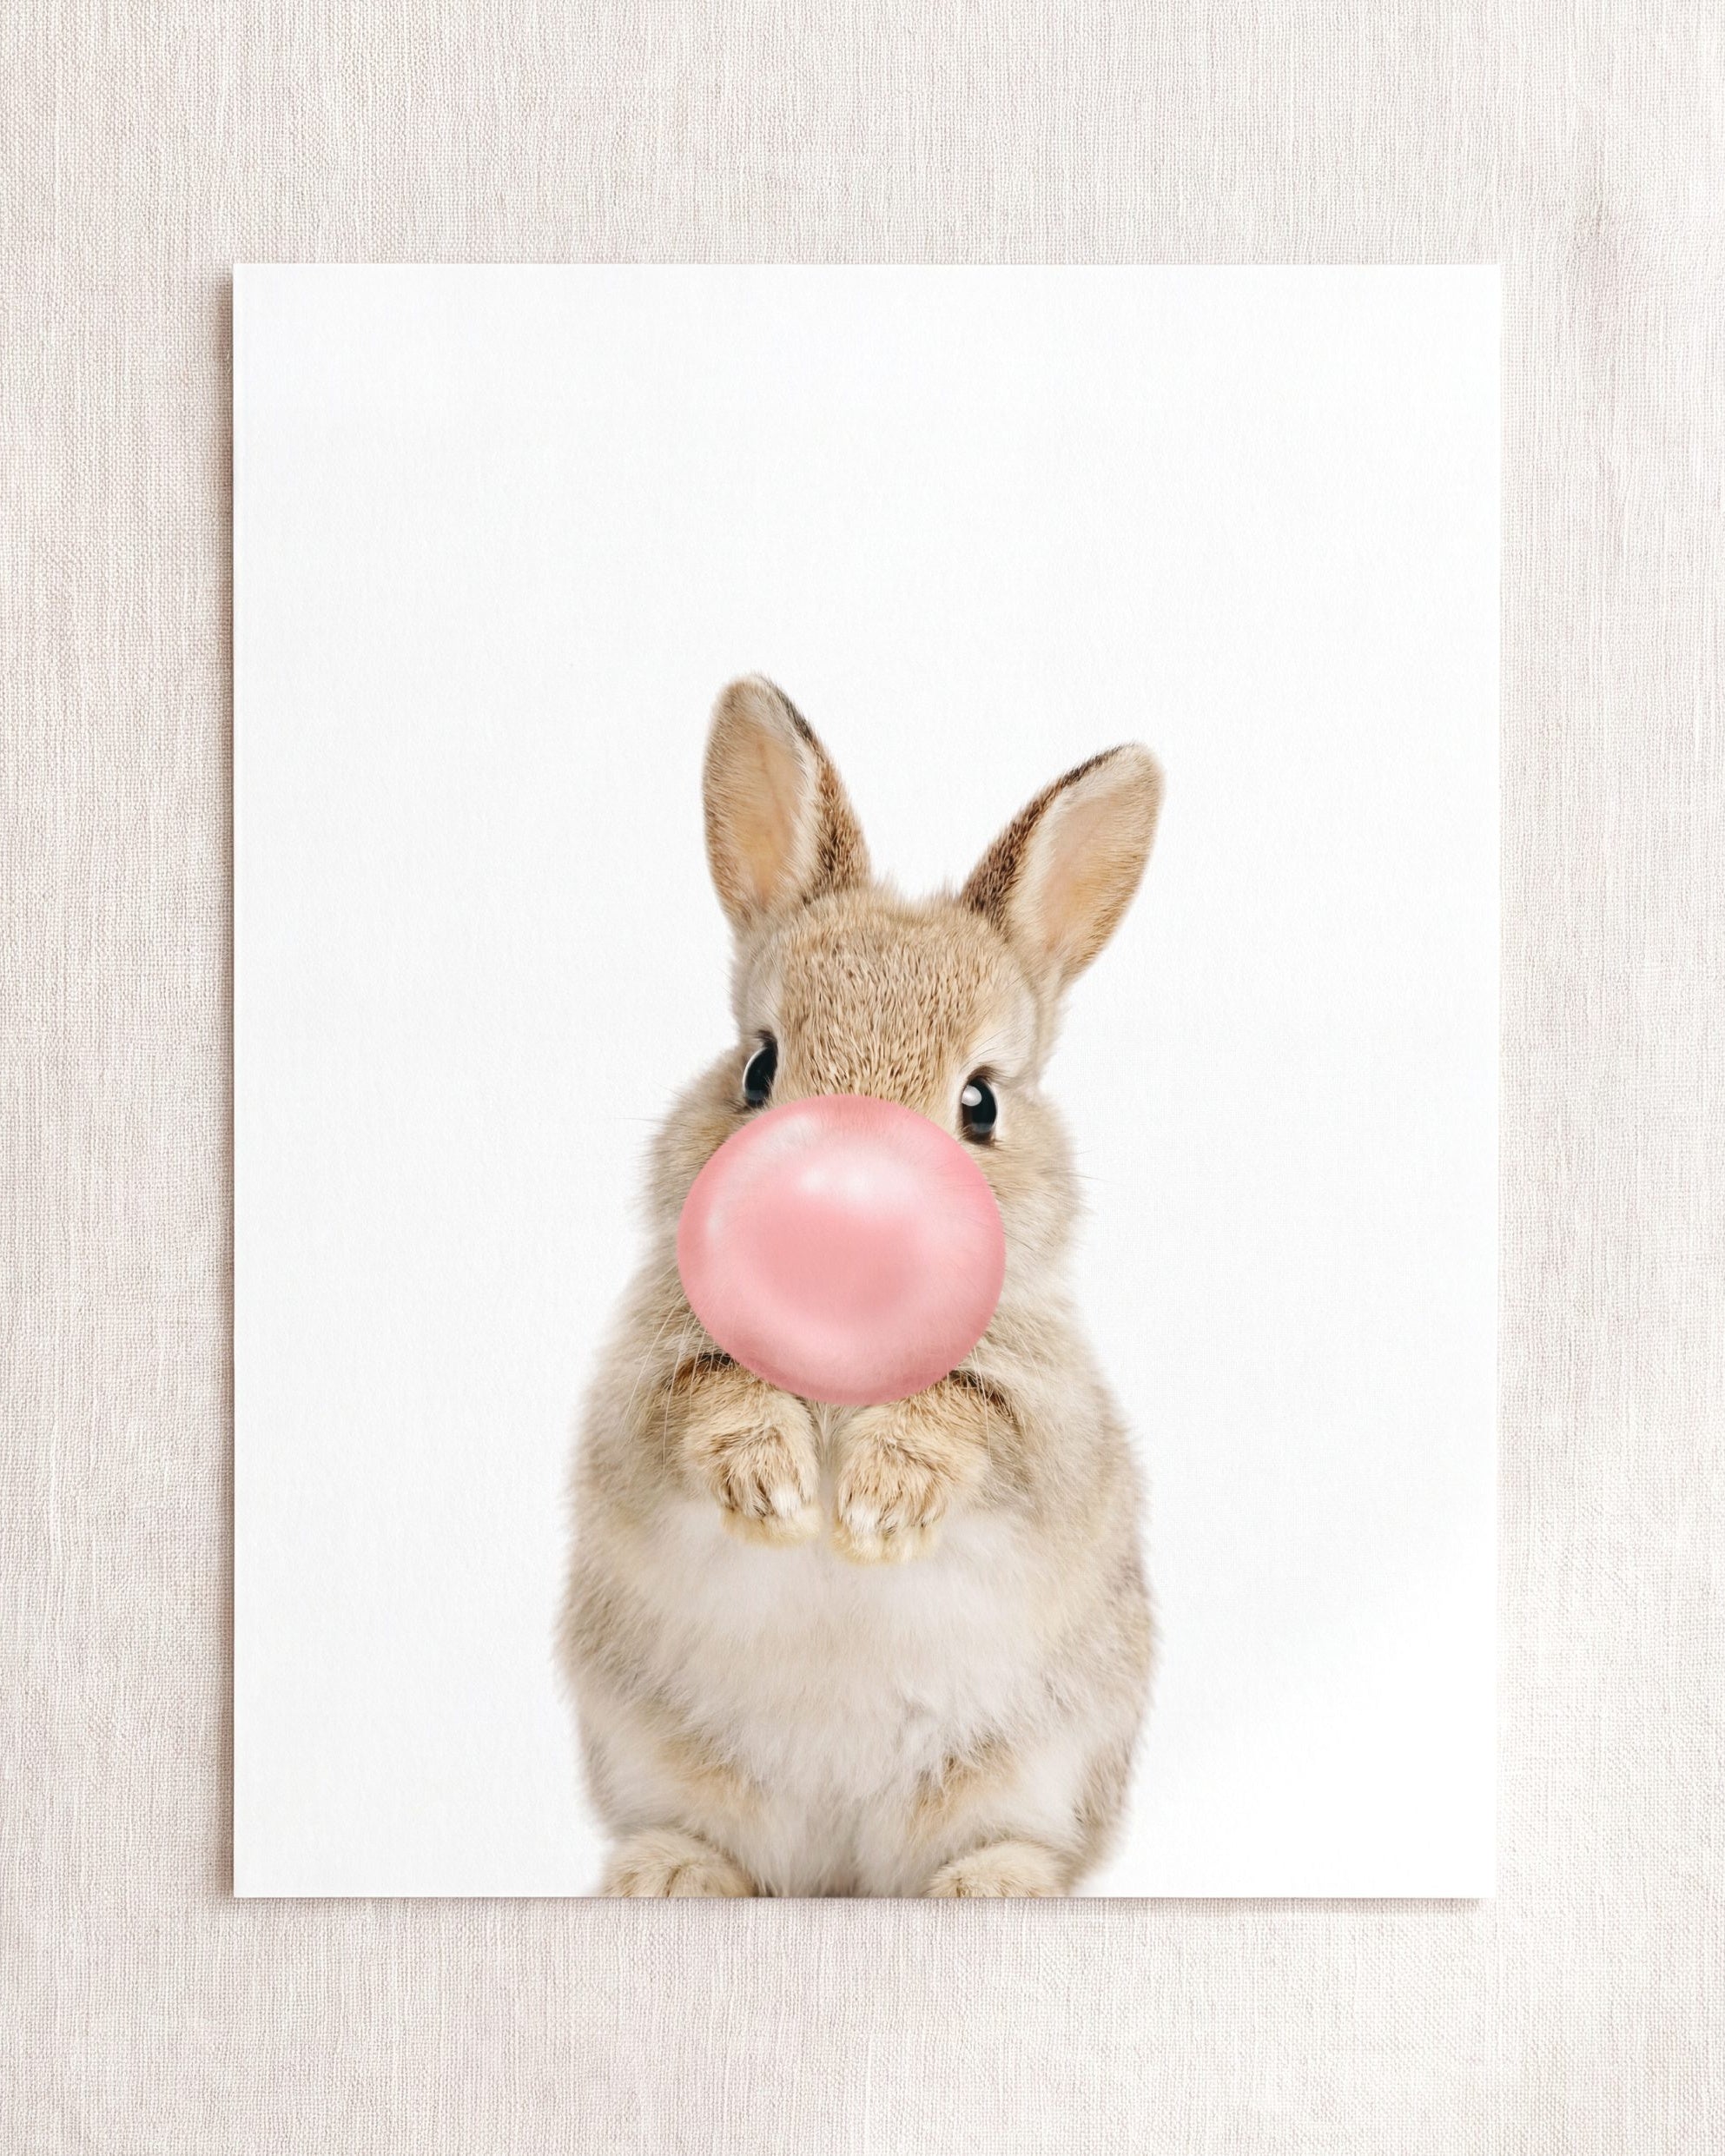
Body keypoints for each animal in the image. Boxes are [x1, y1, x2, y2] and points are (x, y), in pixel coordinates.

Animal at [559, 675, 1162, 1897]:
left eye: (980, 1102)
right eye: (758, 1067)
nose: (841, 1211)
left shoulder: (1048, 1424)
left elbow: (968, 1417)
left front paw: (877, 1508)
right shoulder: (641, 1397)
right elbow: (705, 1401)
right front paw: (779, 1493)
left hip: (1035, 1768)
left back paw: (993, 1888)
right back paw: (670, 1875)